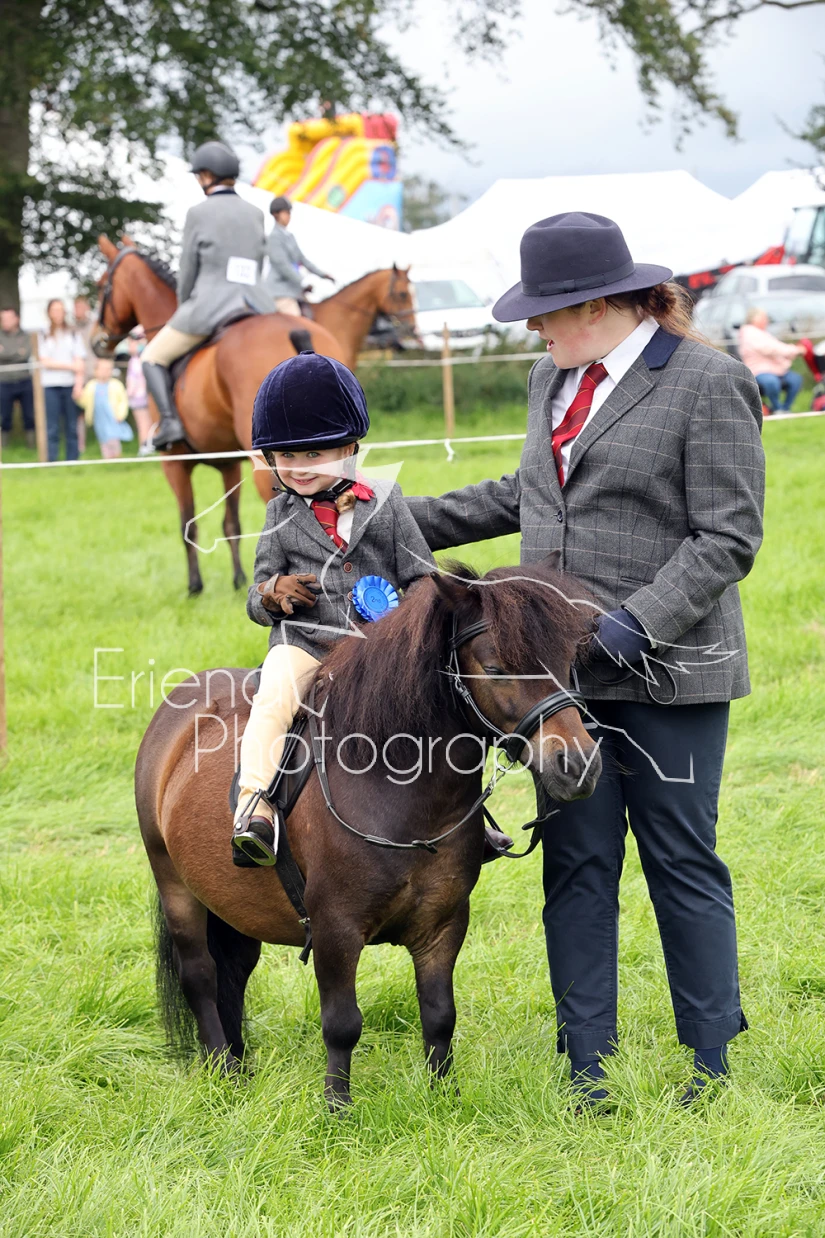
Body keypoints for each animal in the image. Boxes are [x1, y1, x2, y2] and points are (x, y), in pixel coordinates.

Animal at [135, 560, 602, 1108]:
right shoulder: (335, 927)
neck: (394, 785)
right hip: (175, 885)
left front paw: (444, 1100)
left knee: (236, 969)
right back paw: (221, 1071)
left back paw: (239, 1065)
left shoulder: (444, 922)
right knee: (202, 976)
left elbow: (440, 1015)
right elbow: (342, 1024)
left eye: (569, 660)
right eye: (495, 667)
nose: (579, 765)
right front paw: (337, 1110)